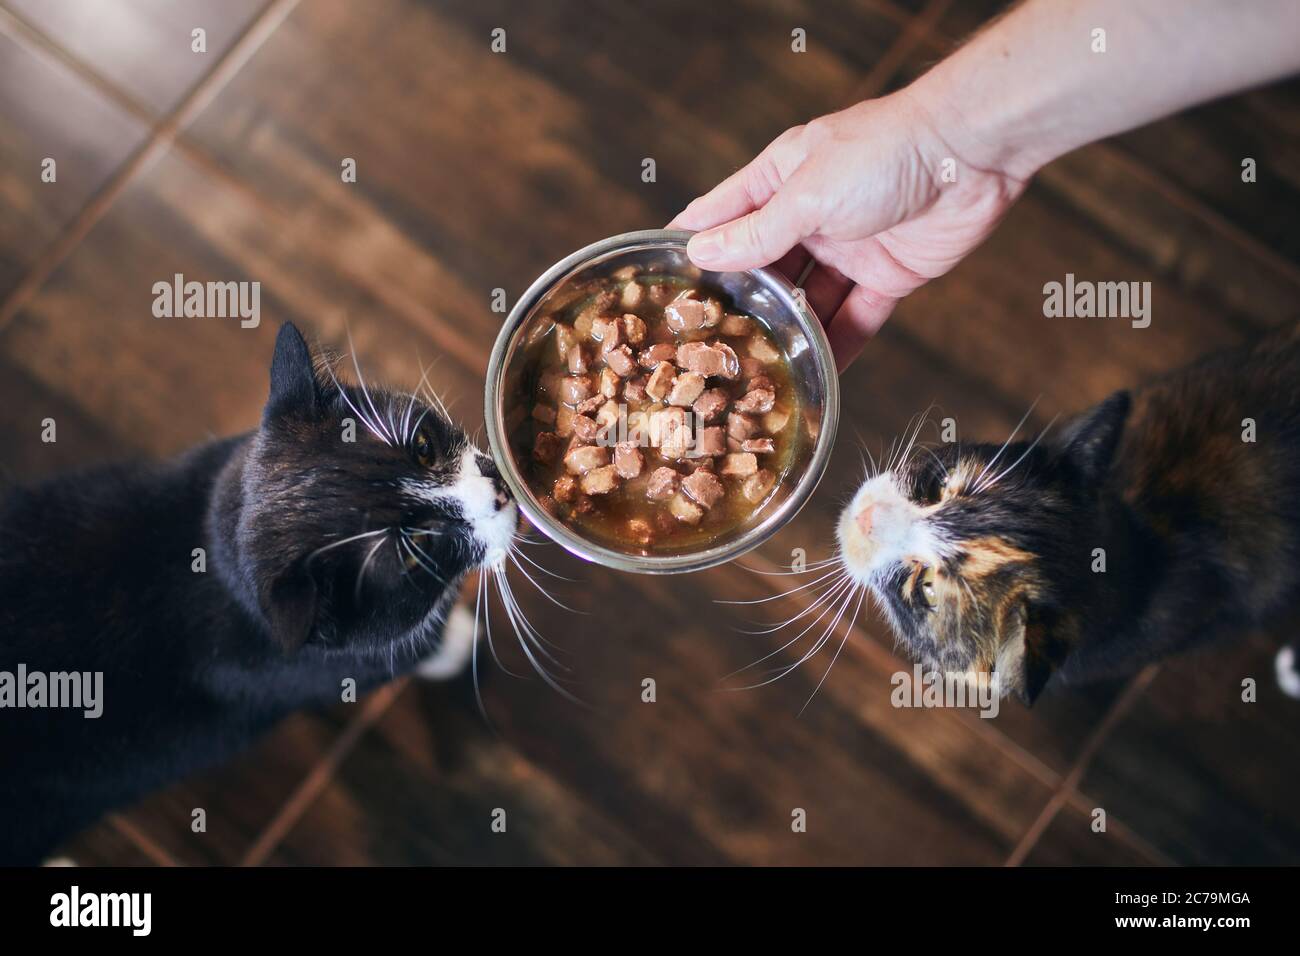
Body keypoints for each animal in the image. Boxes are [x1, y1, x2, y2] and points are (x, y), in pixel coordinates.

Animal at [0, 323, 517, 868]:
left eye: (421, 446)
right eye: (418, 552)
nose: (502, 491)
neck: (213, 556)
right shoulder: (338, 663)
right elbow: (416, 645)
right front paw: (457, 640)